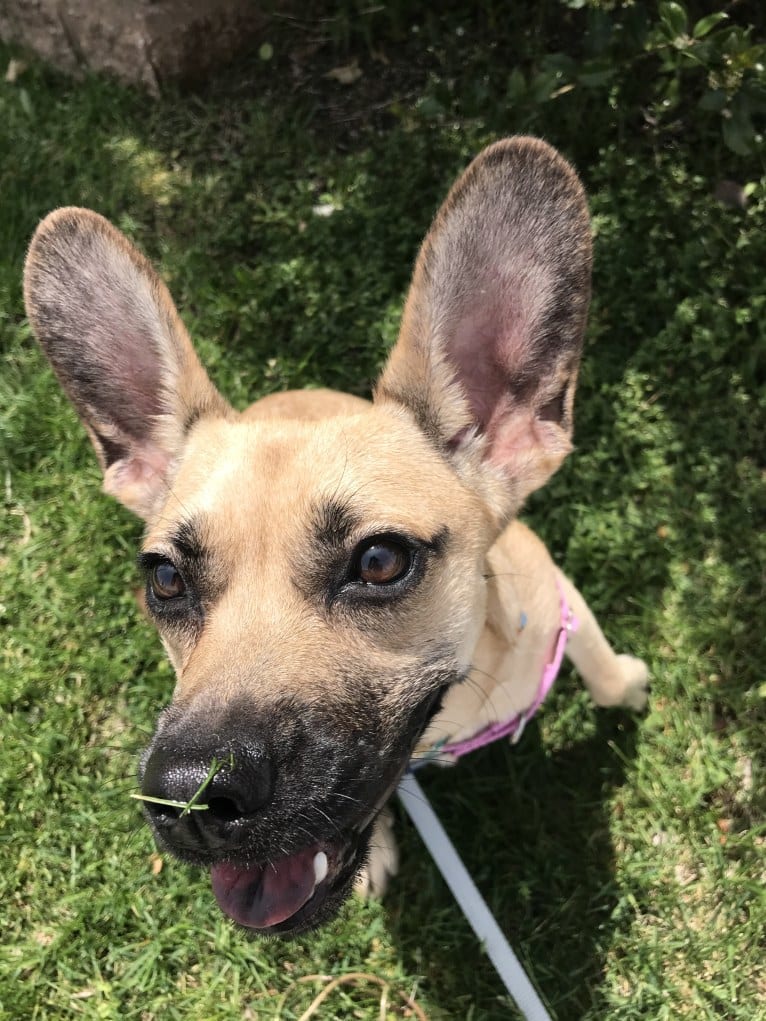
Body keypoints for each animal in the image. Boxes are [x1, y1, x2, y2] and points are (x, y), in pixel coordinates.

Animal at [22, 137, 649, 939]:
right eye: (164, 578)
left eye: (379, 561)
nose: (189, 798)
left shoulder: (560, 595)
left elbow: (599, 667)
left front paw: (627, 685)